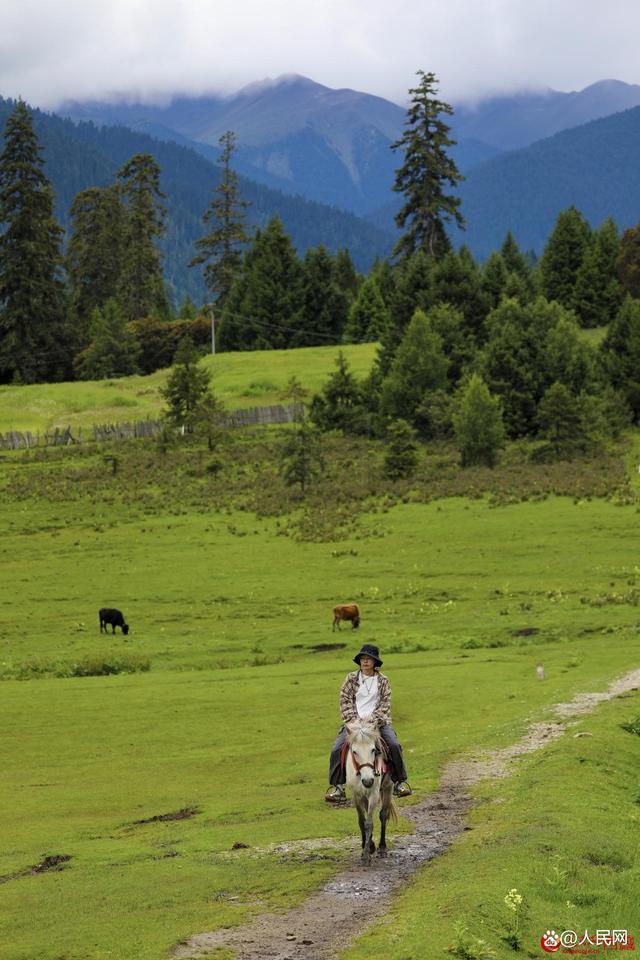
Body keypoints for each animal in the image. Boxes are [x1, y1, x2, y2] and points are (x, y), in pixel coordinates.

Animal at [344, 724, 396, 868]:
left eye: (373, 750)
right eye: (354, 752)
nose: (368, 781)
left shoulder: (373, 793)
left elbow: (368, 823)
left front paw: (366, 855)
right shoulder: (356, 795)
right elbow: (361, 821)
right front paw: (366, 847)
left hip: (388, 787)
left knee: (383, 815)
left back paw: (382, 848)